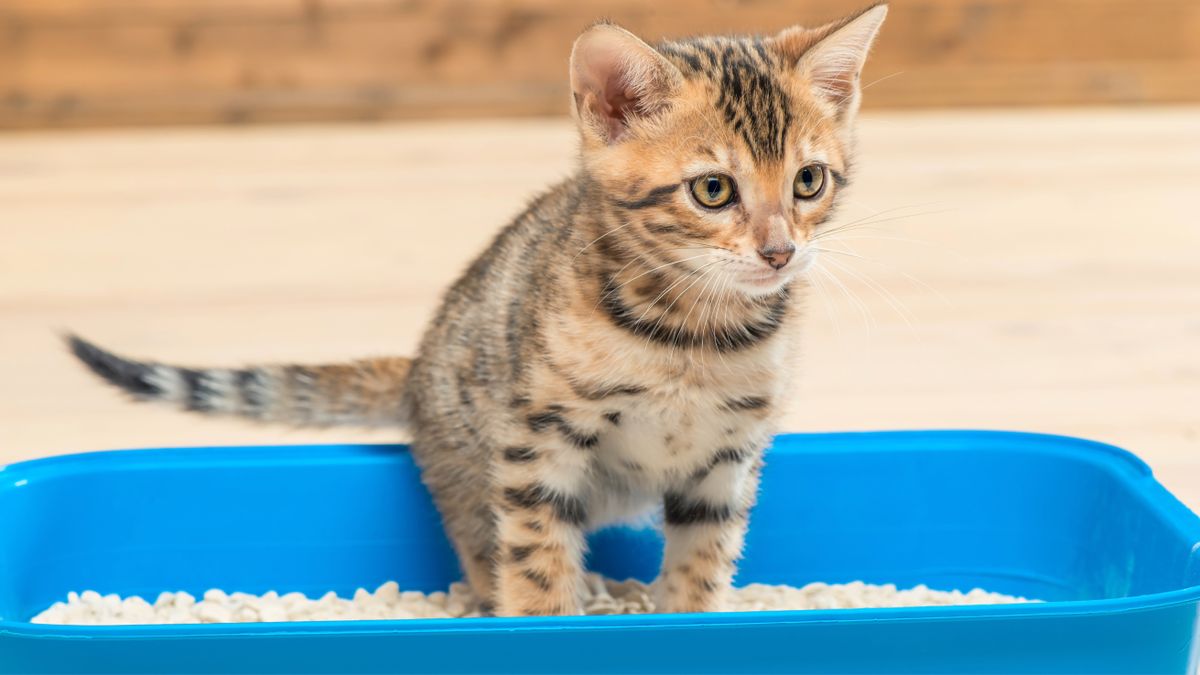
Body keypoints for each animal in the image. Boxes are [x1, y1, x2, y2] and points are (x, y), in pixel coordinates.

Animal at [68, 3, 892, 614]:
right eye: (713, 190)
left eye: (810, 181)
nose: (780, 251)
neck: (694, 334)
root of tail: (414, 366)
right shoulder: (537, 436)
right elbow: (534, 556)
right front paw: (544, 619)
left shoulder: (729, 456)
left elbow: (703, 560)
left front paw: (687, 617)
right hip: (472, 457)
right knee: (482, 536)